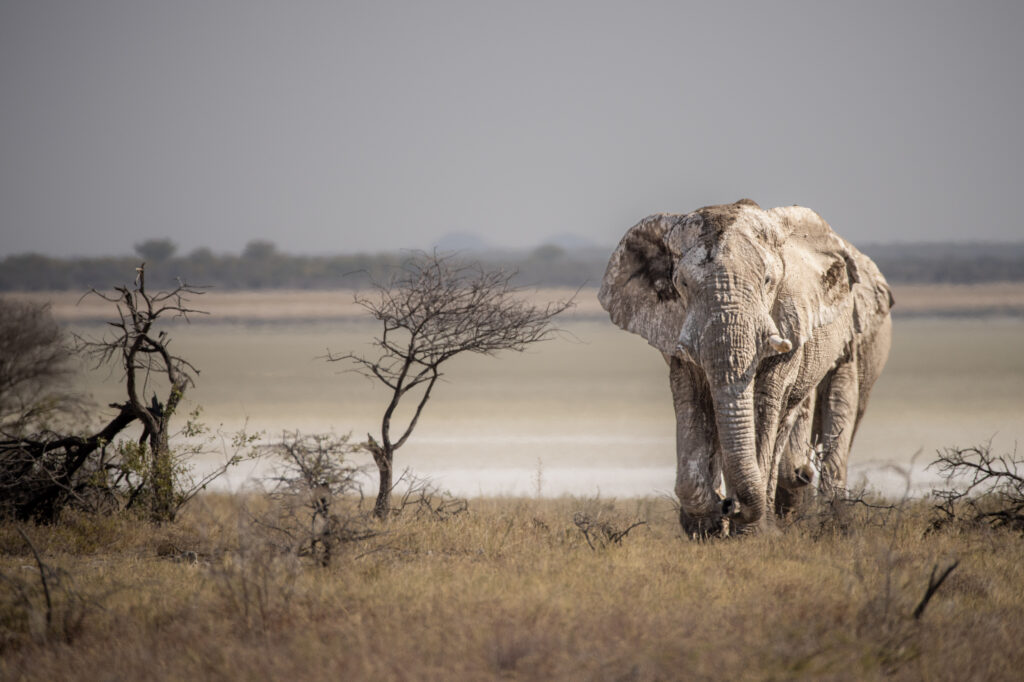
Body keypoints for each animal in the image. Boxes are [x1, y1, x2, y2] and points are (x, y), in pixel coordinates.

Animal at [598, 199, 892, 532]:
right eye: (682, 284)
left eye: (767, 281)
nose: (729, 505)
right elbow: (691, 399)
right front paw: (707, 526)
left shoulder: (790, 320)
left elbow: (765, 401)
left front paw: (749, 531)